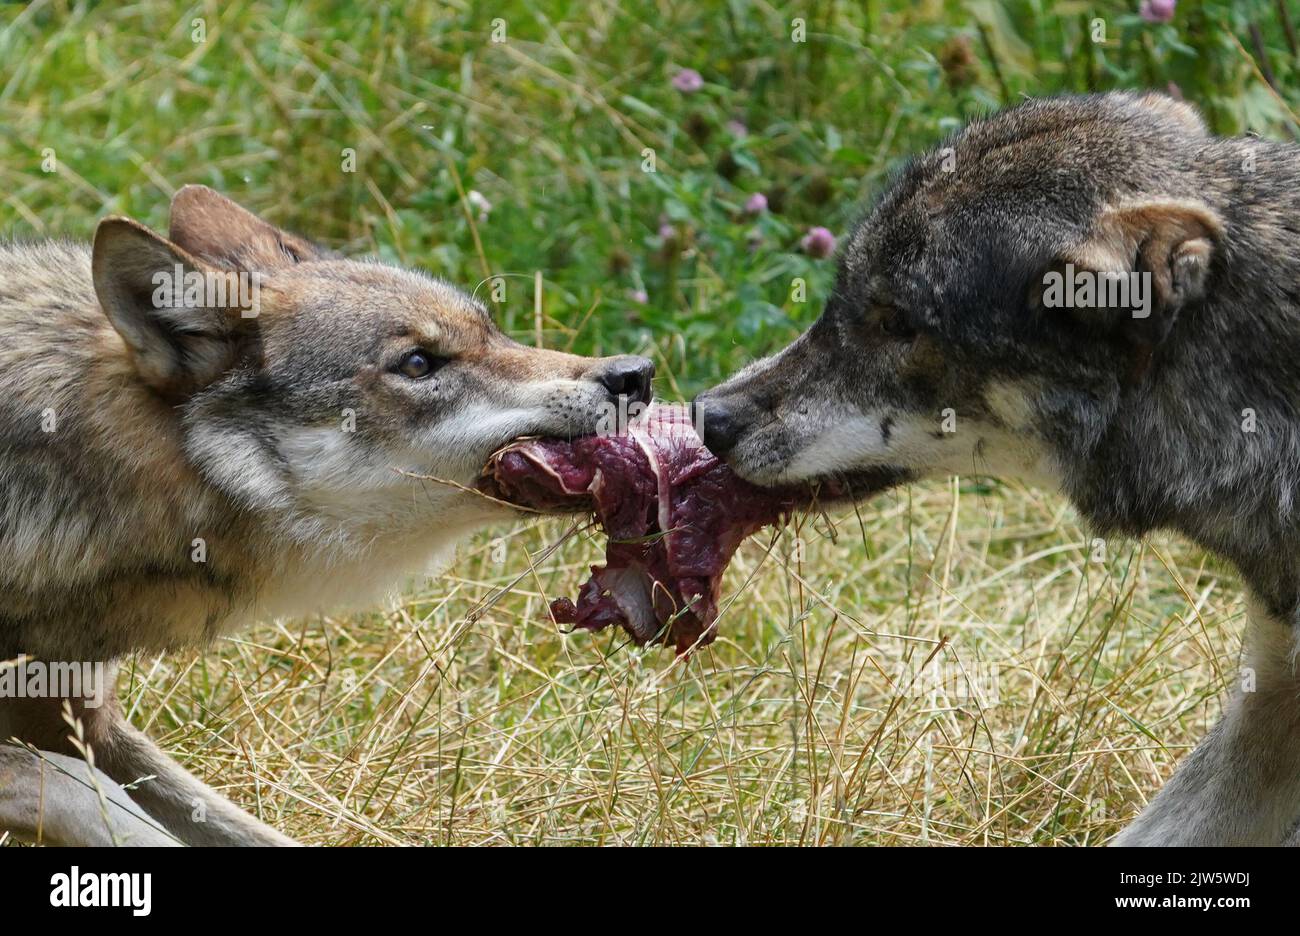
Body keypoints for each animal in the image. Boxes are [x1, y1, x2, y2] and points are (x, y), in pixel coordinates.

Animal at [0, 186, 654, 846]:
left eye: (496, 333)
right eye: (418, 363)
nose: (637, 373)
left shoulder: (87, 721)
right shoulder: (51, 744)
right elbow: (84, 794)